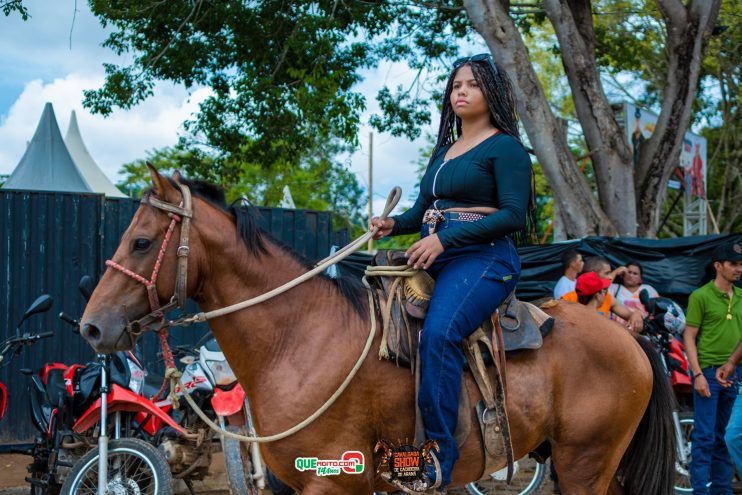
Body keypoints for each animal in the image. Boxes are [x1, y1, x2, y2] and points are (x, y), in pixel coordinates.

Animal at [78, 168, 676, 495]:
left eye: (141, 241)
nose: (92, 326)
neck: (298, 338)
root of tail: (631, 338)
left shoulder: (333, 480)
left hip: (584, 466)